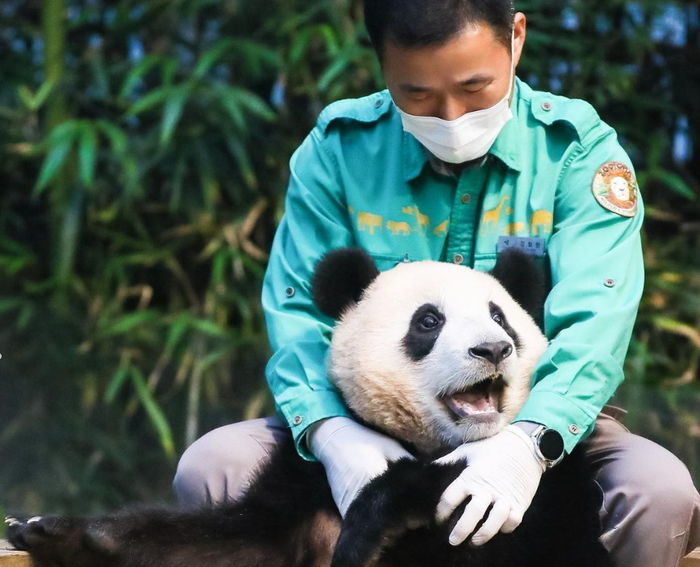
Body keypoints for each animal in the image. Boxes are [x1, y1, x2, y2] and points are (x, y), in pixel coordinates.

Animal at [5, 248, 608, 567]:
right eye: (429, 321)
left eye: (499, 316)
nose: (493, 349)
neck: (431, 443)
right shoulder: (305, 486)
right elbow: (224, 544)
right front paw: (47, 528)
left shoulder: (536, 505)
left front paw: (373, 522)